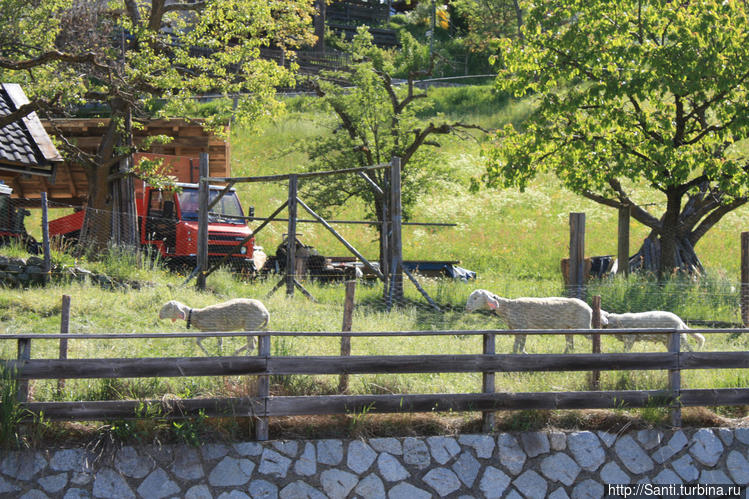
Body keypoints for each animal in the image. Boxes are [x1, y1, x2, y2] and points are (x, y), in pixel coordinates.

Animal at [462, 290, 592, 356]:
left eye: (476, 298)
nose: (467, 308)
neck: (508, 307)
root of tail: (589, 308)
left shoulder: (522, 326)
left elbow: (520, 345)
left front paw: (522, 353)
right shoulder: (516, 329)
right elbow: (517, 345)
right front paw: (519, 353)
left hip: (583, 325)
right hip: (569, 328)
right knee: (570, 344)